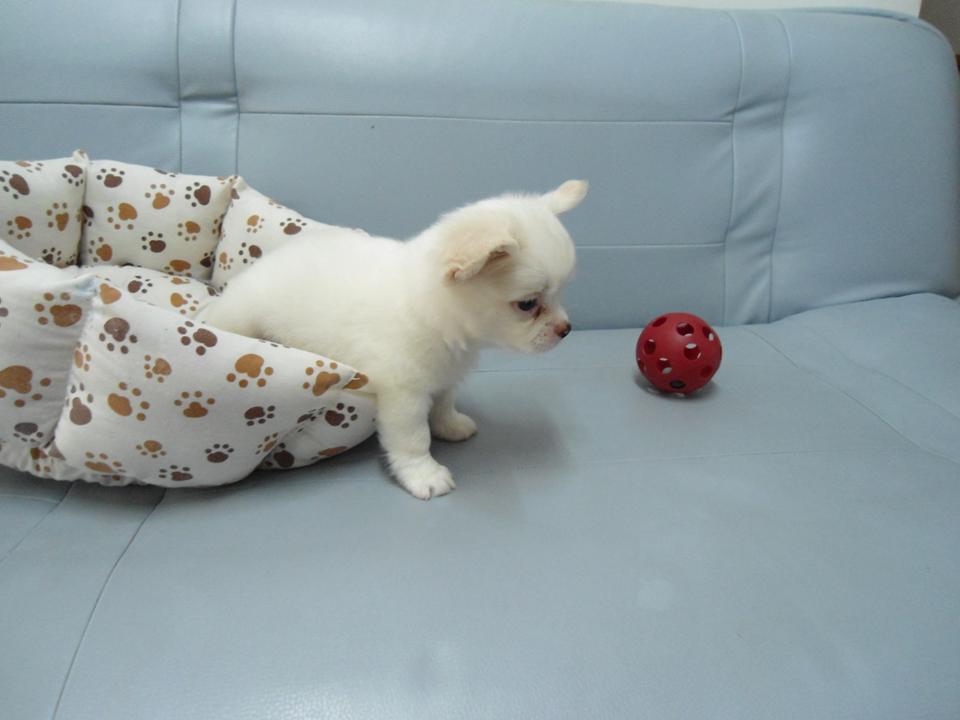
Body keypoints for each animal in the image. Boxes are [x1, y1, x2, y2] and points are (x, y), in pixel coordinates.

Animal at [202, 180, 587, 499]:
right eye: (528, 305)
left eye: (562, 293)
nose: (566, 329)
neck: (430, 310)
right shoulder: (403, 396)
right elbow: (414, 439)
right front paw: (423, 475)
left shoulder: (445, 376)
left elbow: (444, 403)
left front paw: (450, 425)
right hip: (242, 316)